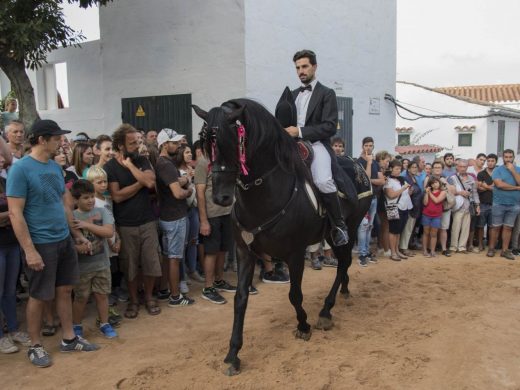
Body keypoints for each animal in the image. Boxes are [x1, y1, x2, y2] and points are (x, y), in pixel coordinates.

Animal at [193, 98, 372, 374]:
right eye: (205, 145)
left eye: (232, 141)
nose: (220, 198)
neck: (266, 193)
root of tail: (358, 166)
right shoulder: (245, 253)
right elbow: (240, 300)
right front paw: (233, 353)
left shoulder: (295, 254)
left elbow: (294, 295)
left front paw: (303, 325)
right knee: (344, 264)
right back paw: (342, 291)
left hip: (348, 230)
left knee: (344, 262)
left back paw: (326, 311)